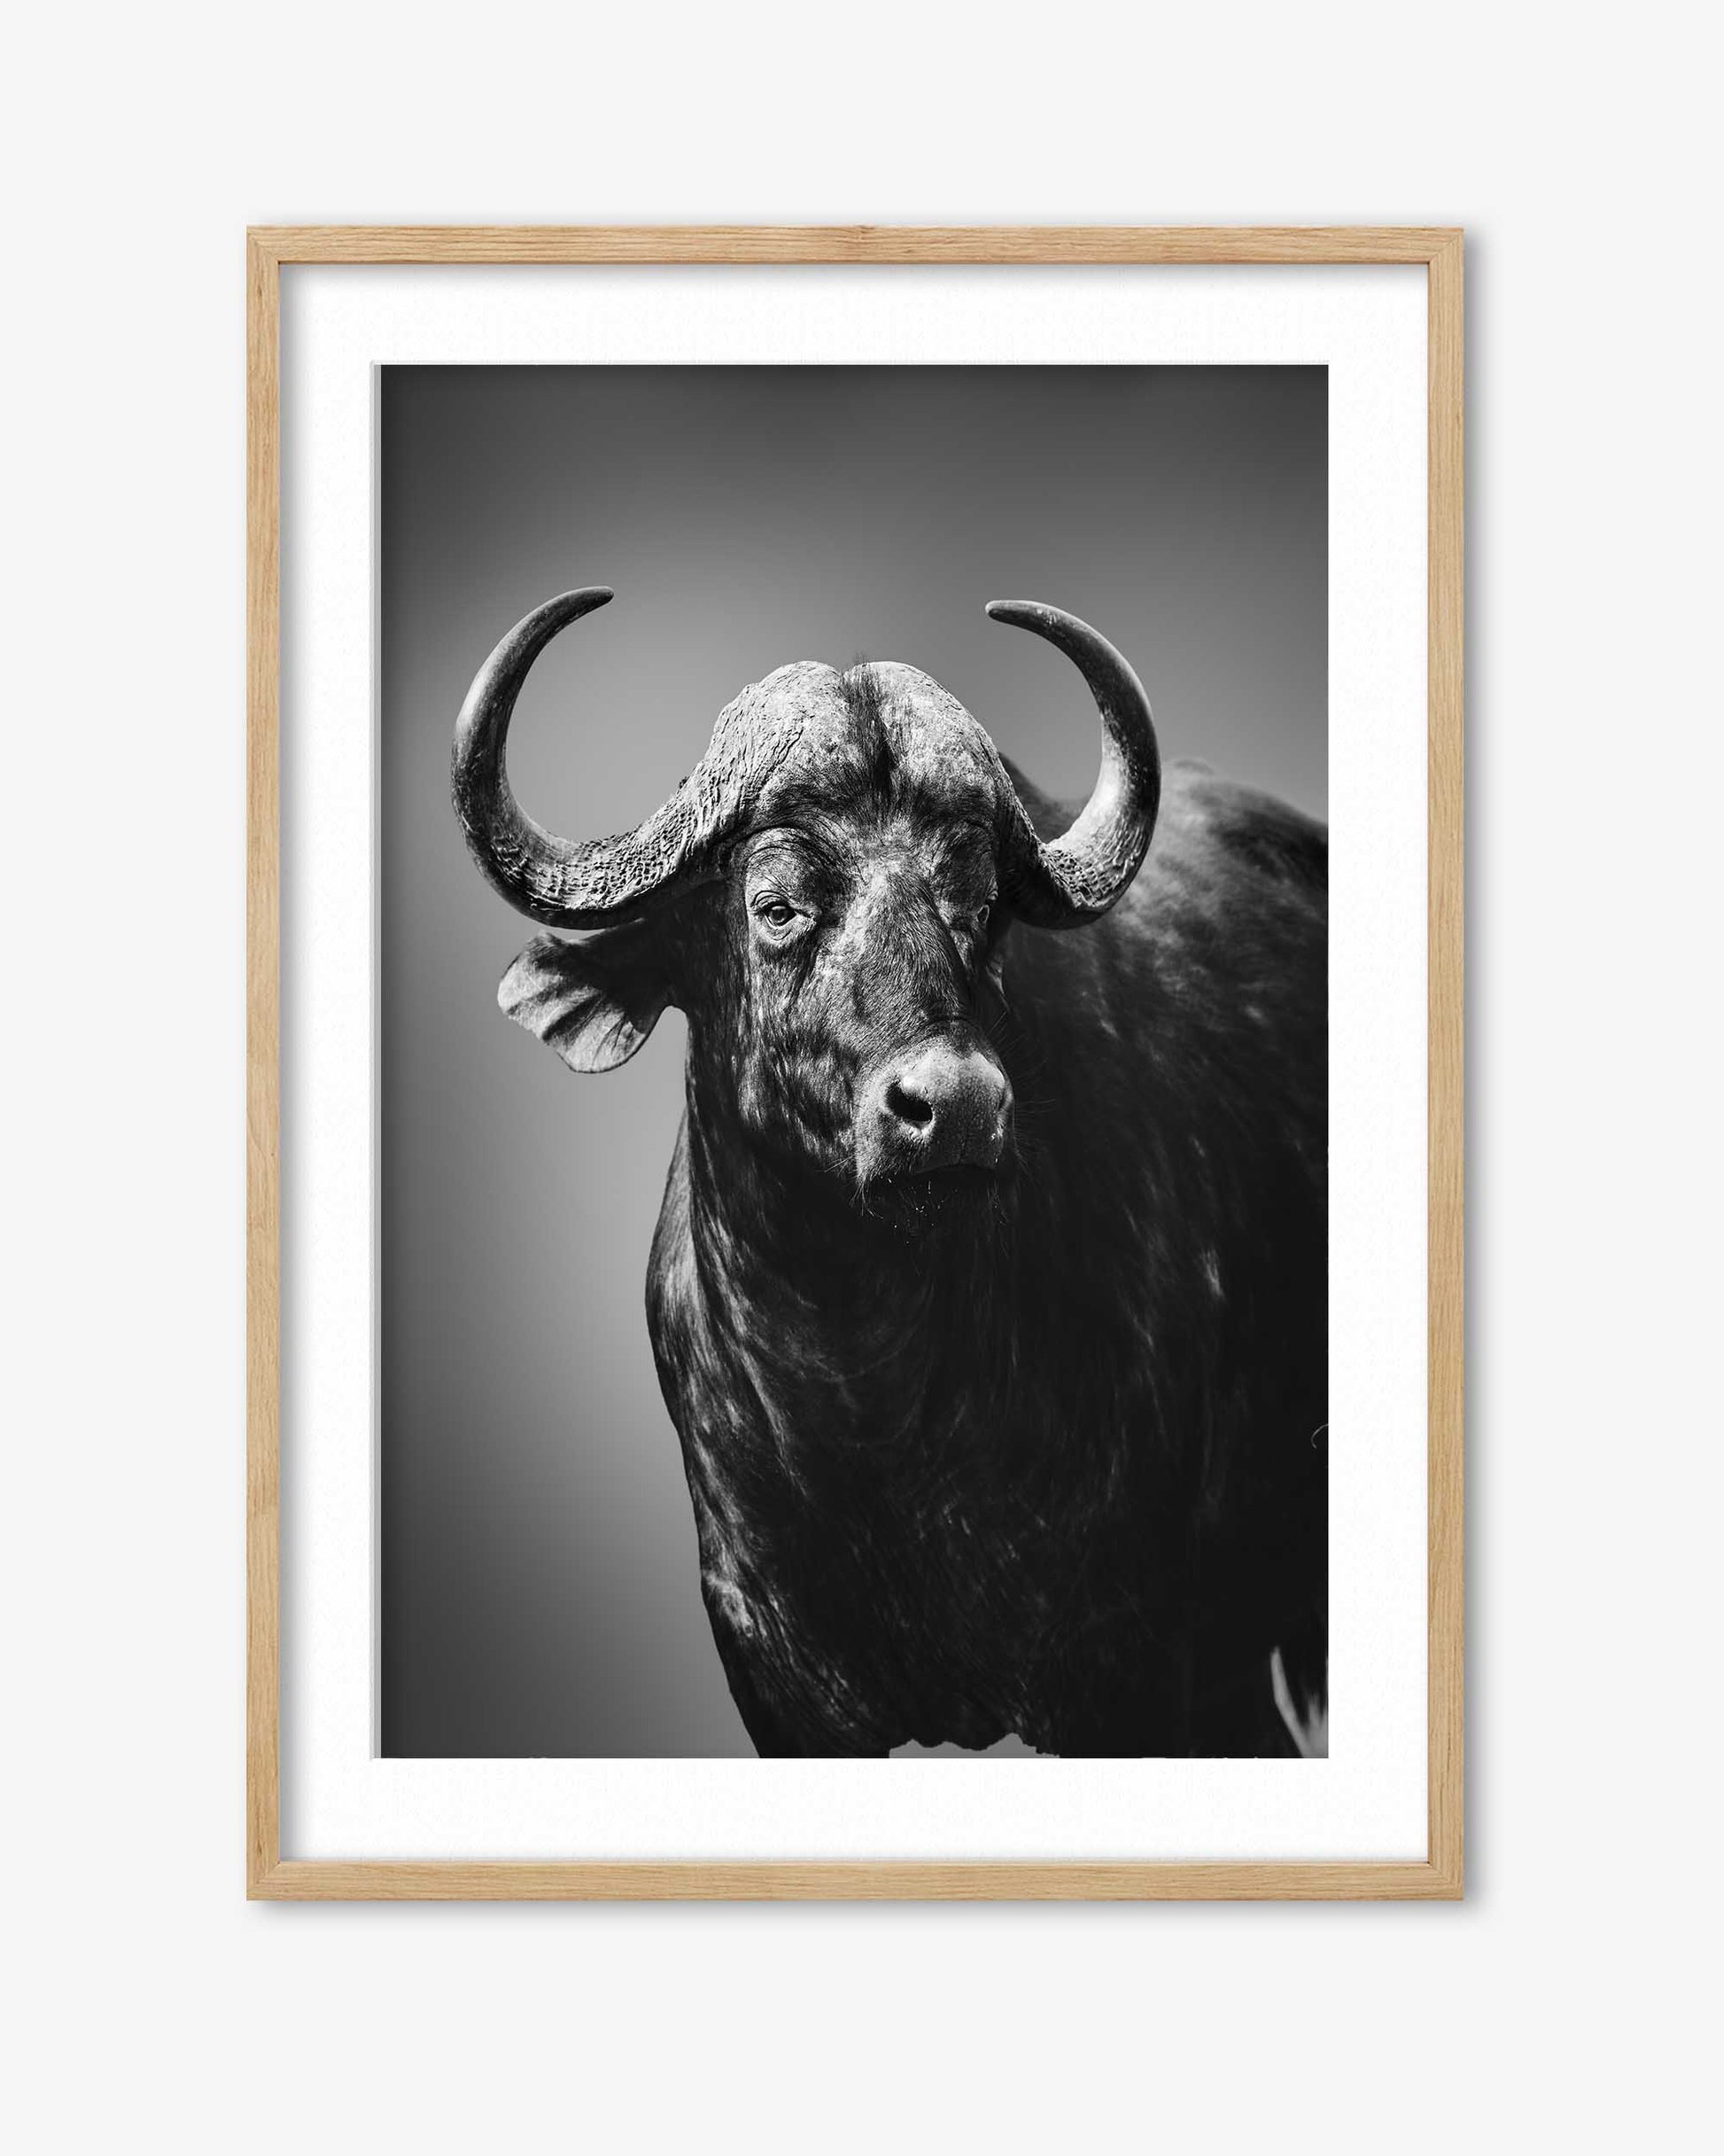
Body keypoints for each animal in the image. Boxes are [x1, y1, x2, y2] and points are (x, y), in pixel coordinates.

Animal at [453, 588, 1326, 1756]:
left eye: (977, 904)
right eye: (777, 905)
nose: (952, 1108)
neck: (866, 1404)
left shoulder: (1128, 1669)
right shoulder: (770, 1675)